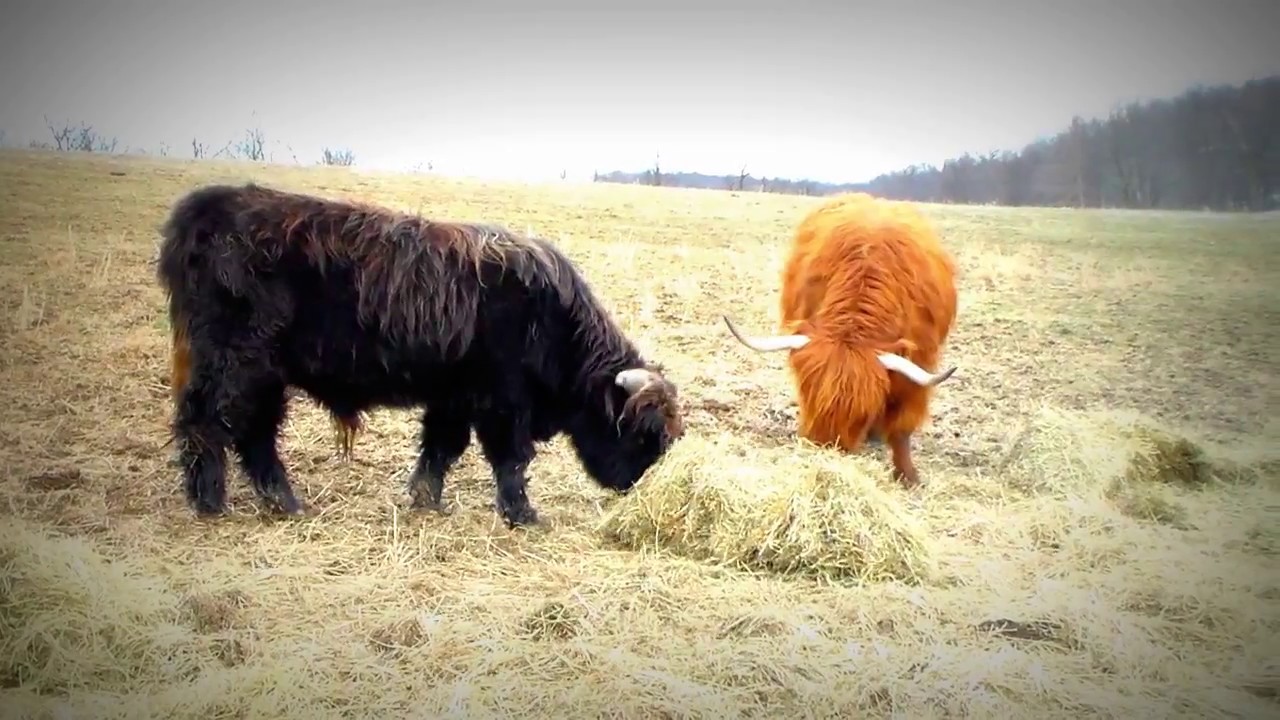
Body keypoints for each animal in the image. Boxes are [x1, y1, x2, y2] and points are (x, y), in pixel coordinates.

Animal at [156, 183, 685, 528]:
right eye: (646, 434)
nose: (632, 487)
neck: (552, 320)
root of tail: (205, 210)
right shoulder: (502, 403)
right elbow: (510, 460)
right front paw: (524, 516)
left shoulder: (454, 397)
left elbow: (440, 449)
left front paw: (425, 500)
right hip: (236, 364)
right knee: (212, 425)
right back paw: (217, 503)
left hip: (260, 375)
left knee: (250, 433)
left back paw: (279, 503)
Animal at [722, 192, 958, 488]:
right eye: (808, 394)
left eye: (863, 410)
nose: (826, 447)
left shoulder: (919, 366)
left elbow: (902, 428)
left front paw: (907, 475)